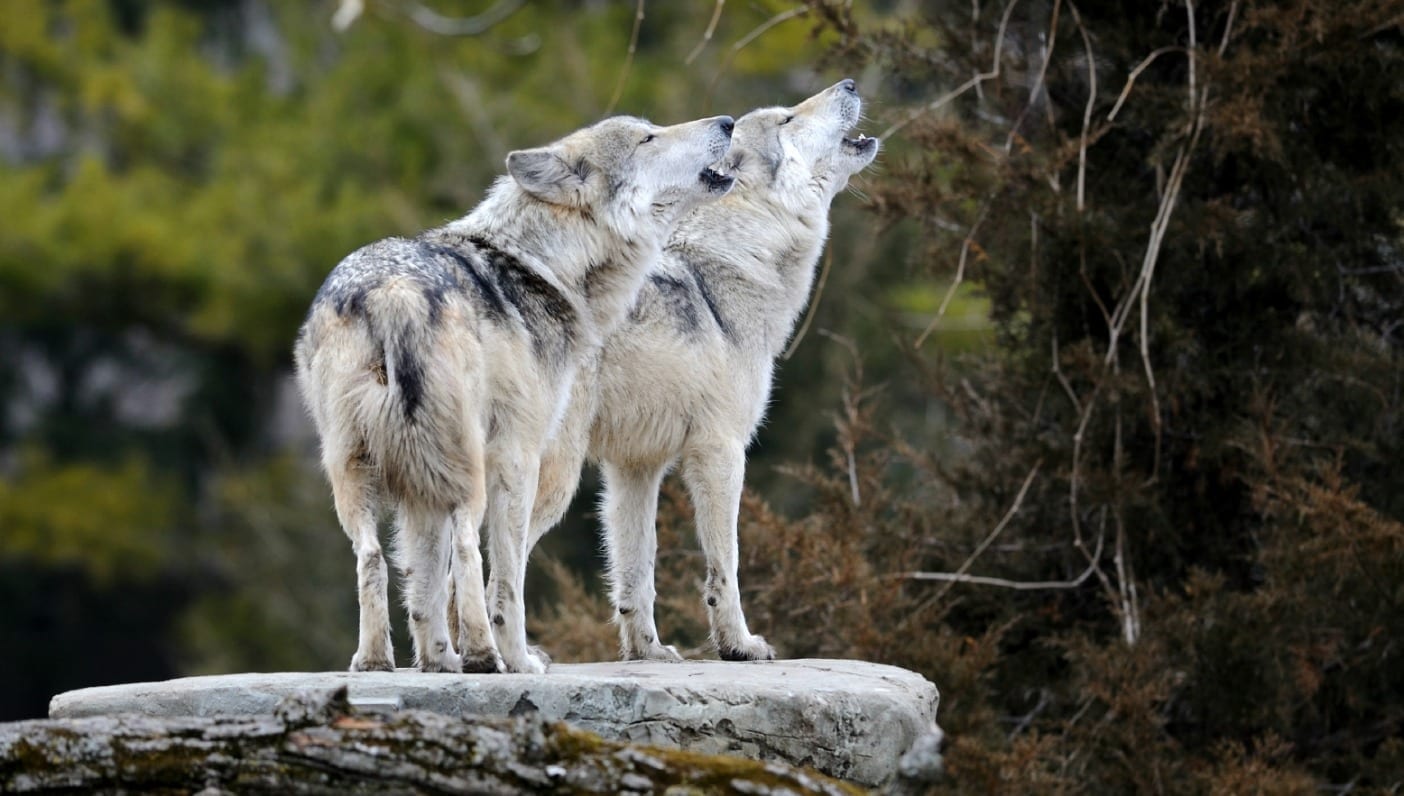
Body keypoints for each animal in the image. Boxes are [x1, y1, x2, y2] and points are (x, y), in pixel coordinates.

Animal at [294, 113, 735, 674]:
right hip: (468, 469)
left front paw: (438, 661)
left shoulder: (420, 489)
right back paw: (487, 657)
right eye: (647, 137)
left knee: (372, 558)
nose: (727, 121)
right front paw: (516, 658)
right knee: (468, 549)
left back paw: (376, 662)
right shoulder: (519, 456)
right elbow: (506, 581)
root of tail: (395, 292)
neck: (542, 265)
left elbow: (424, 587)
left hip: (358, 471)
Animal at [527, 79, 879, 661]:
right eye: (787, 118)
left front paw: (646, 653)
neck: (734, 263)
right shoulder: (721, 452)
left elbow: (636, 573)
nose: (850, 83)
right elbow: (725, 567)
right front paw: (739, 645)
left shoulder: (635, 470)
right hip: (554, 478)